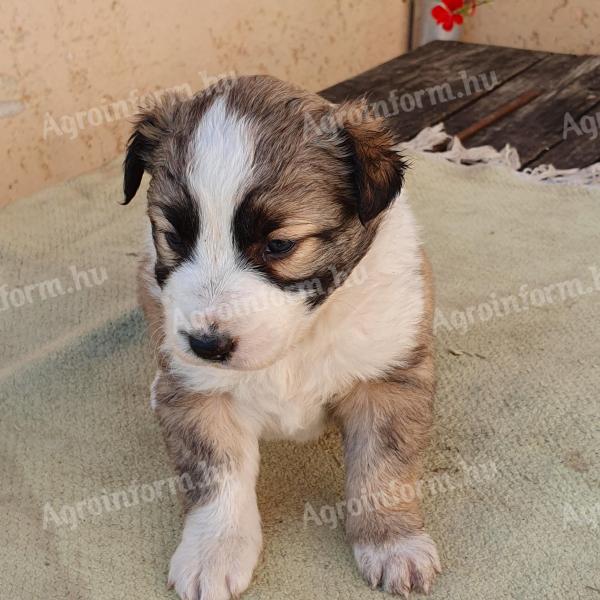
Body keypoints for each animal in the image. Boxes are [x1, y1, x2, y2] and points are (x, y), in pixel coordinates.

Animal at [123, 75, 440, 600]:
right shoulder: (203, 396)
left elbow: (382, 468)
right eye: (173, 237)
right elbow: (216, 476)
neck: (299, 340)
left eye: (279, 245)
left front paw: (392, 542)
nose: (206, 346)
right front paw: (213, 552)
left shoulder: (387, 378)